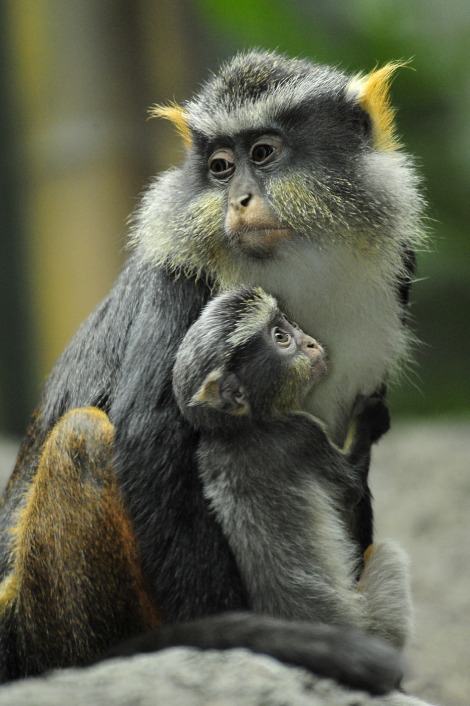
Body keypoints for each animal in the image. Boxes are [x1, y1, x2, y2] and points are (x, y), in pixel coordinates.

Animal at [173, 284, 412, 644]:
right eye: (281, 337)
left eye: (287, 324)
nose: (311, 342)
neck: (239, 429)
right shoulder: (302, 434)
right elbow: (350, 489)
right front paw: (369, 416)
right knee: (386, 554)